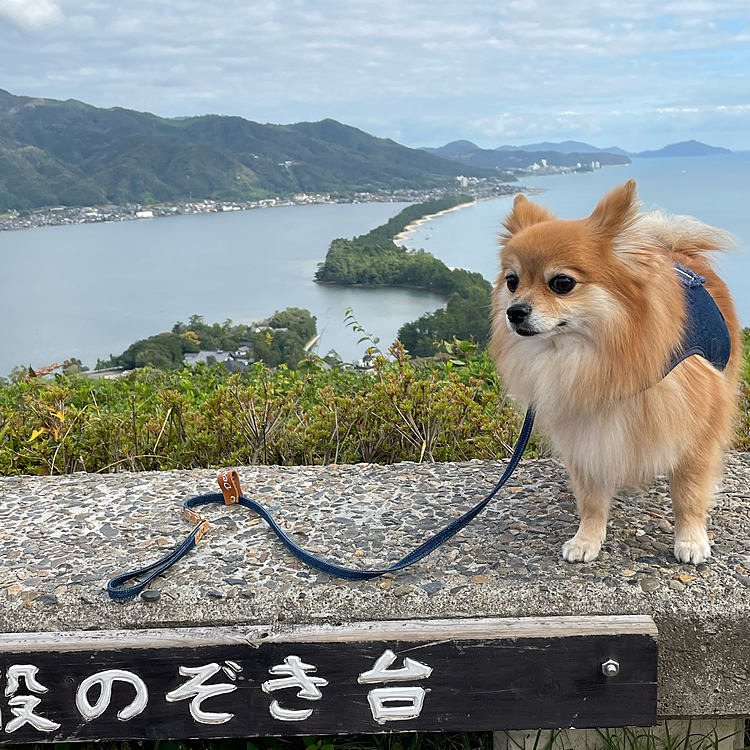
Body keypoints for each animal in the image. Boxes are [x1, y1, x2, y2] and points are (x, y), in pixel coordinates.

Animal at [490, 181, 744, 564]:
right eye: (512, 281)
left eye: (561, 283)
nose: (514, 311)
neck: (599, 359)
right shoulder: (585, 432)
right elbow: (592, 496)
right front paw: (587, 538)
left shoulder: (695, 427)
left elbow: (688, 492)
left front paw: (691, 538)